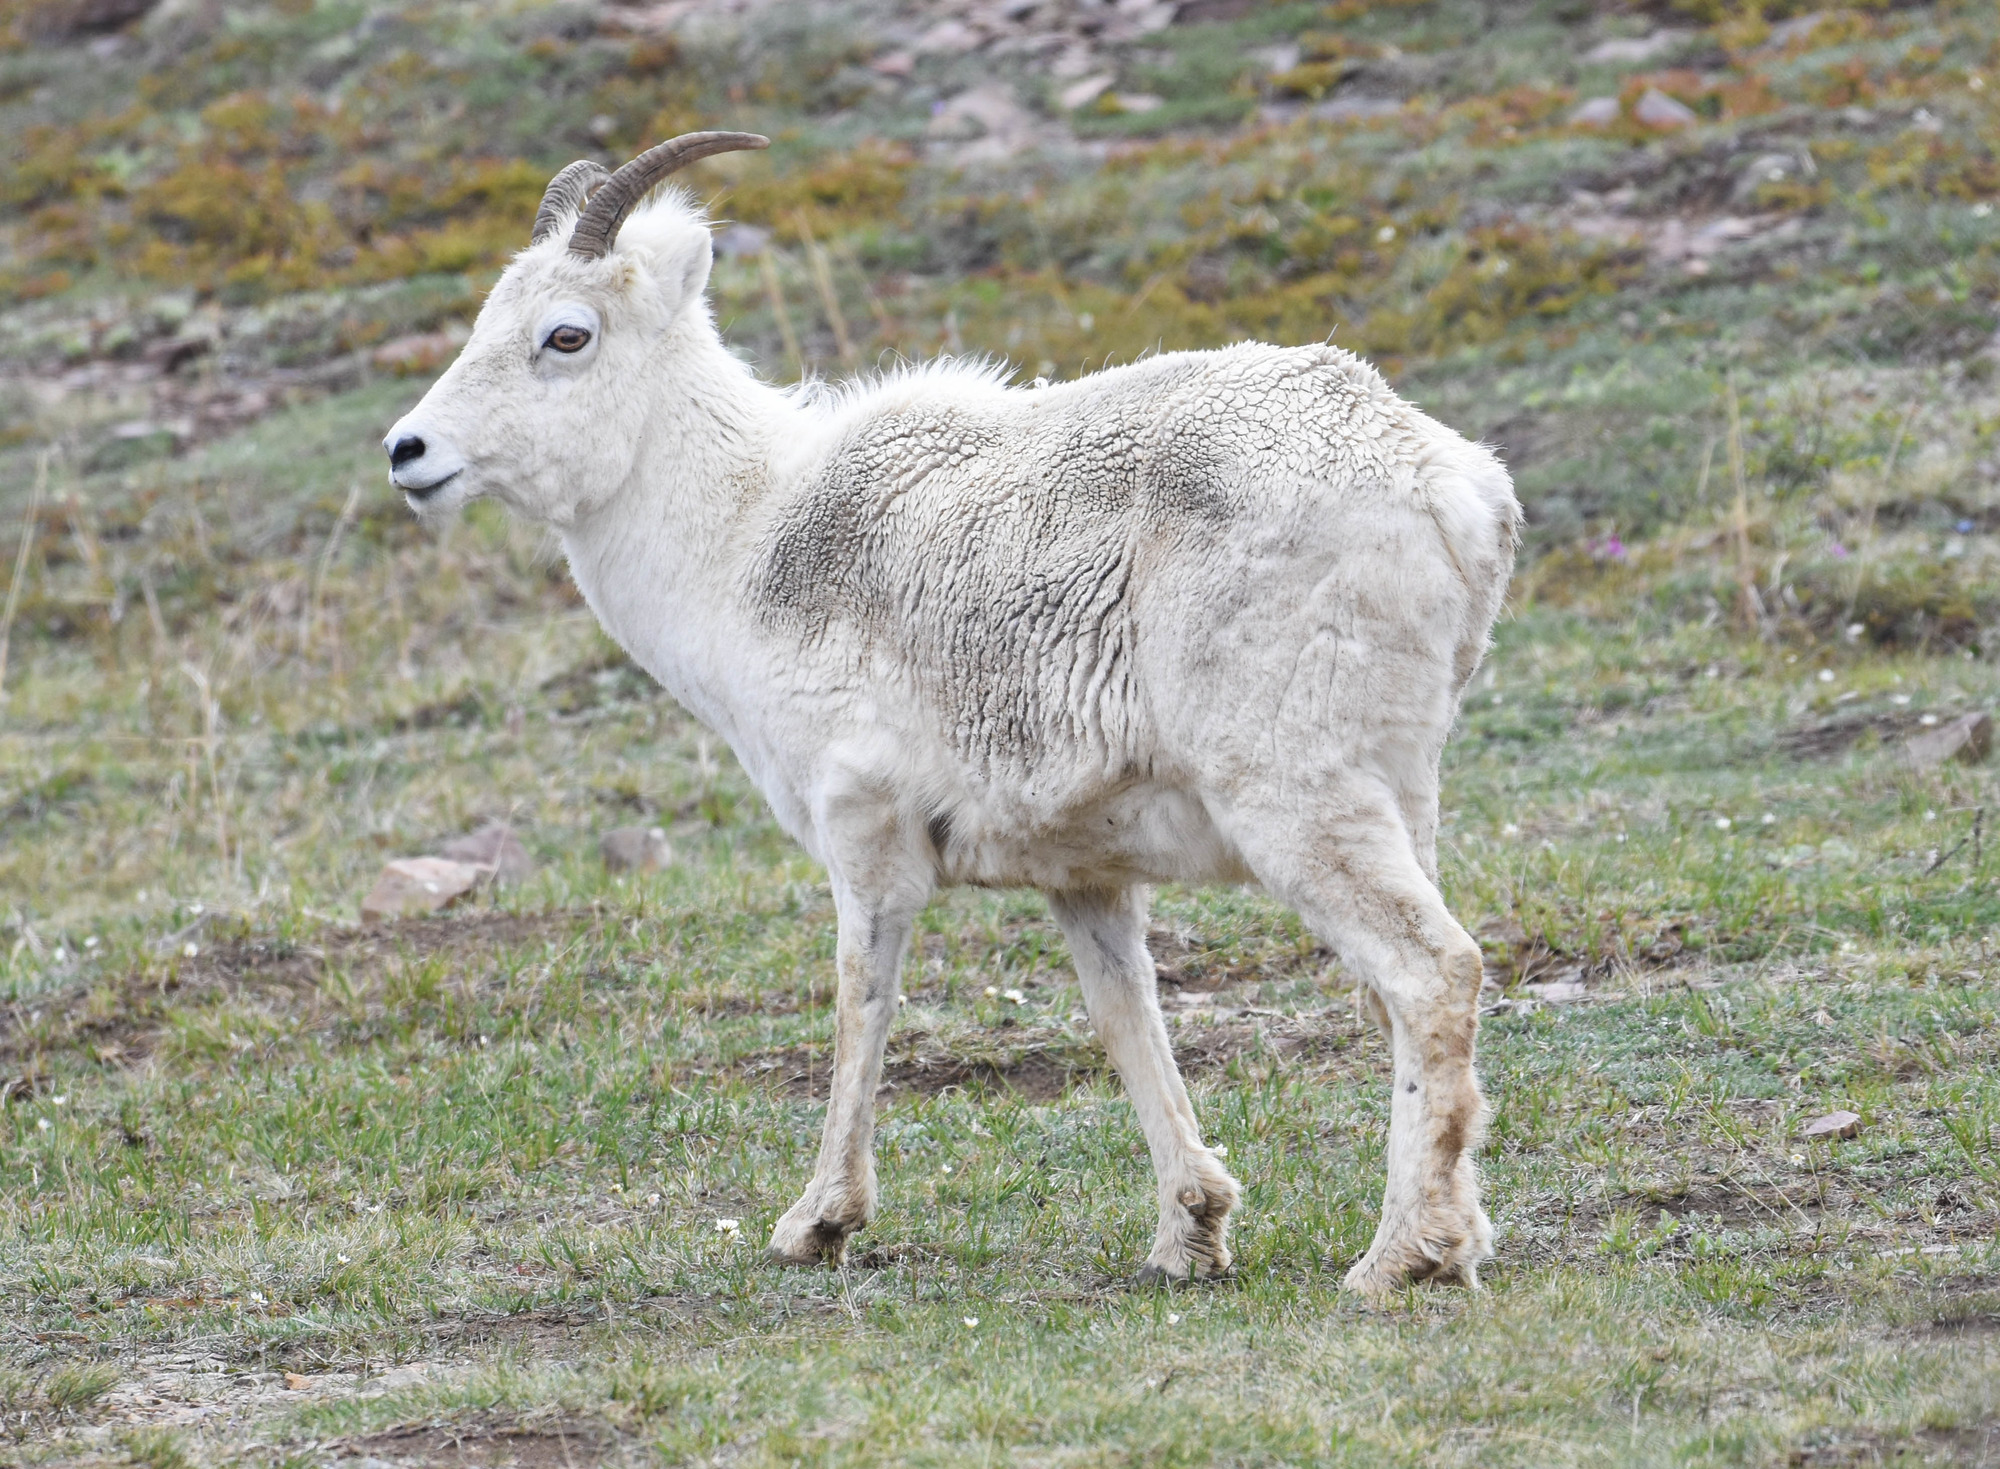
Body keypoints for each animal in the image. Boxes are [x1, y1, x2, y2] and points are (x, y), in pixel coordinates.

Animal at [382, 133, 1521, 1293]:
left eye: (566, 334)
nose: (408, 452)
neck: (747, 537)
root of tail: (1452, 487)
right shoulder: (1085, 877)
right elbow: (1126, 1016)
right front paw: (1187, 1234)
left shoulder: (866, 835)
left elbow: (861, 1001)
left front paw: (817, 1223)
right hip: (1400, 794)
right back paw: (1458, 1240)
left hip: (1297, 800)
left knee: (1433, 973)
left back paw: (1397, 1258)